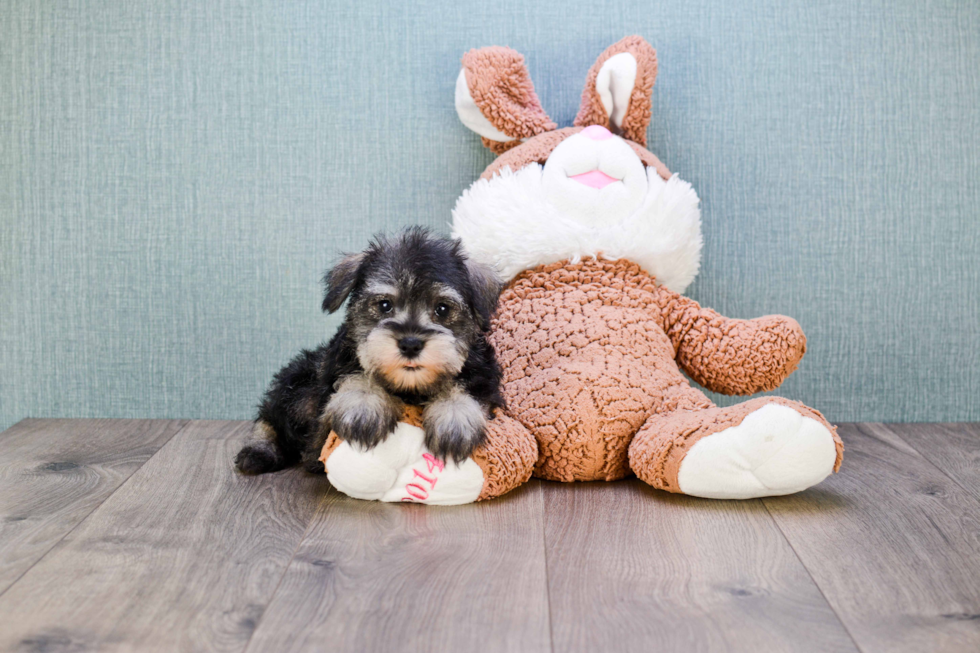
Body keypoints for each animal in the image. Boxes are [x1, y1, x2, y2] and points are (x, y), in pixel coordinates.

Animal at [234, 228, 502, 474]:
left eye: (443, 309)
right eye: (384, 305)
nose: (410, 344)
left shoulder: (484, 378)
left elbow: (463, 386)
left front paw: (454, 417)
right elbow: (360, 373)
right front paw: (363, 403)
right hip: (298, 382)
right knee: (270, 417)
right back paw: (258, 450)